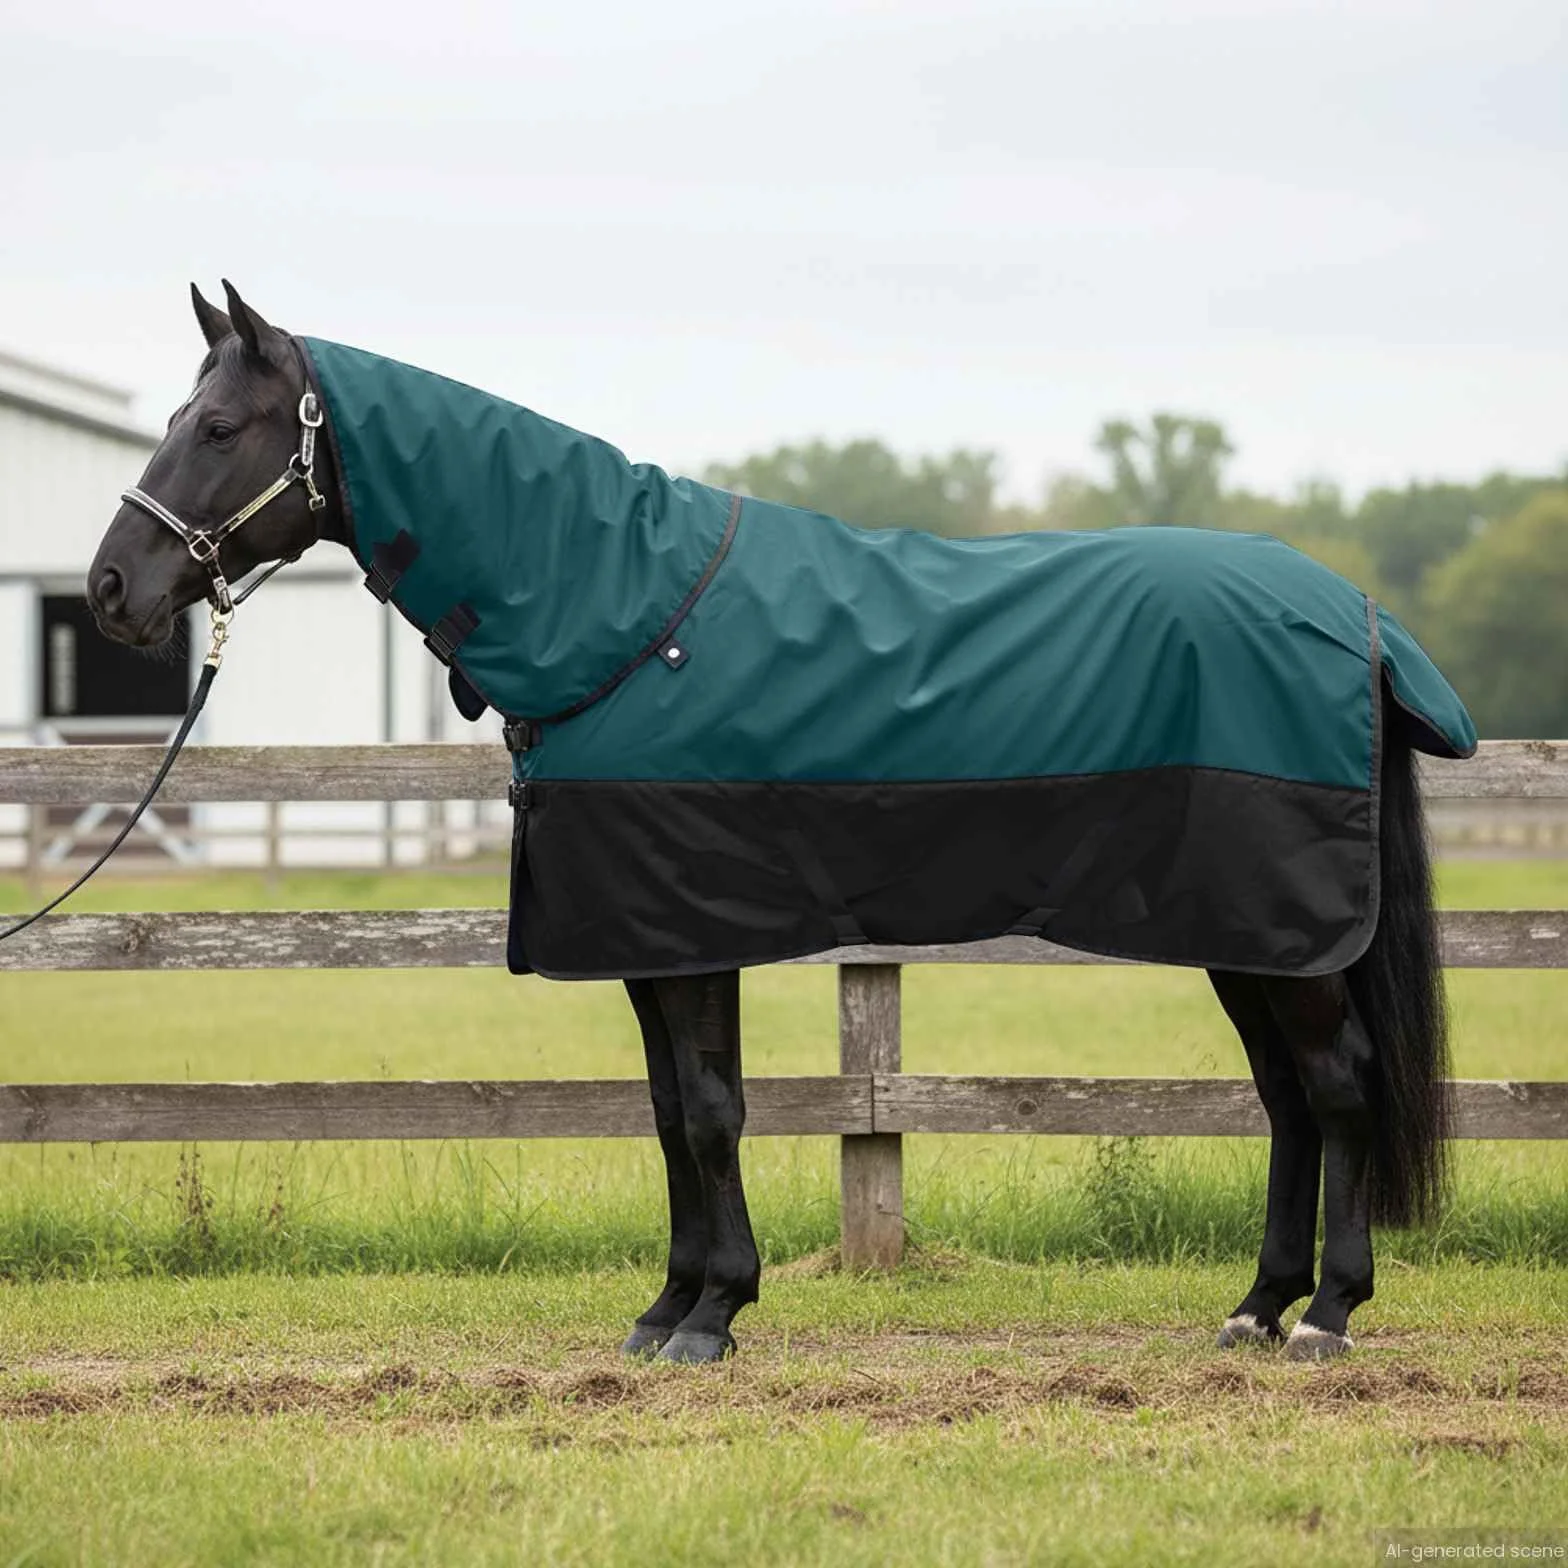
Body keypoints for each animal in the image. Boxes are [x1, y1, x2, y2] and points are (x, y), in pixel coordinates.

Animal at [86, 280, 1474, 1364]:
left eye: (218, 426)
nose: (110, 589)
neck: (622, 614)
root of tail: (1352, 615)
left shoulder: (691, 928)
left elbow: (708, 1110)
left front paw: (712, 1316)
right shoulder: (645, 938)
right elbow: (666, 1112)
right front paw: (666, 1308)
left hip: (1280, 929)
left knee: (1335, 1086)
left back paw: (1325, 1314)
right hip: (1245, 933)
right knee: (1286, 1097)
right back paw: (1254, 1306)